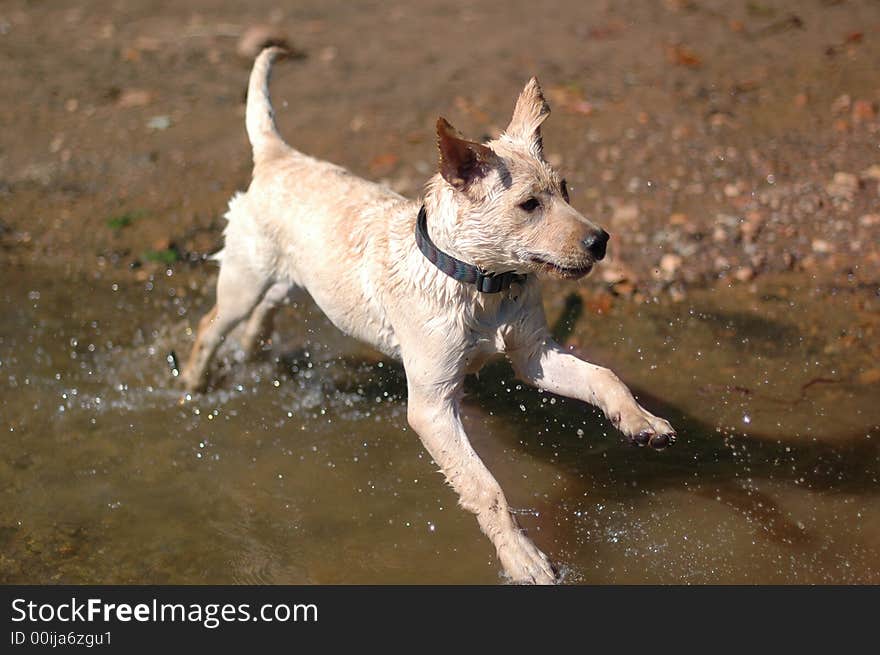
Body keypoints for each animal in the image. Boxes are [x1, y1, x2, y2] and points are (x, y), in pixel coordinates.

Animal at [179, 48, 672, 588]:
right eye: (529, 204)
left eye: (566, 190)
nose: (600, 241)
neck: (481, 284)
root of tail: (279, 155)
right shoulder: (432, 406)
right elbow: (485, 488)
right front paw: (522, 559)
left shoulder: (535, 355)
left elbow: (604, 376)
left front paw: (640, 420)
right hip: (243, 281)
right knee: (209, 327)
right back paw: (193, 384)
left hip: (288, 280)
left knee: (261, 316)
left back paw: (252, 350)